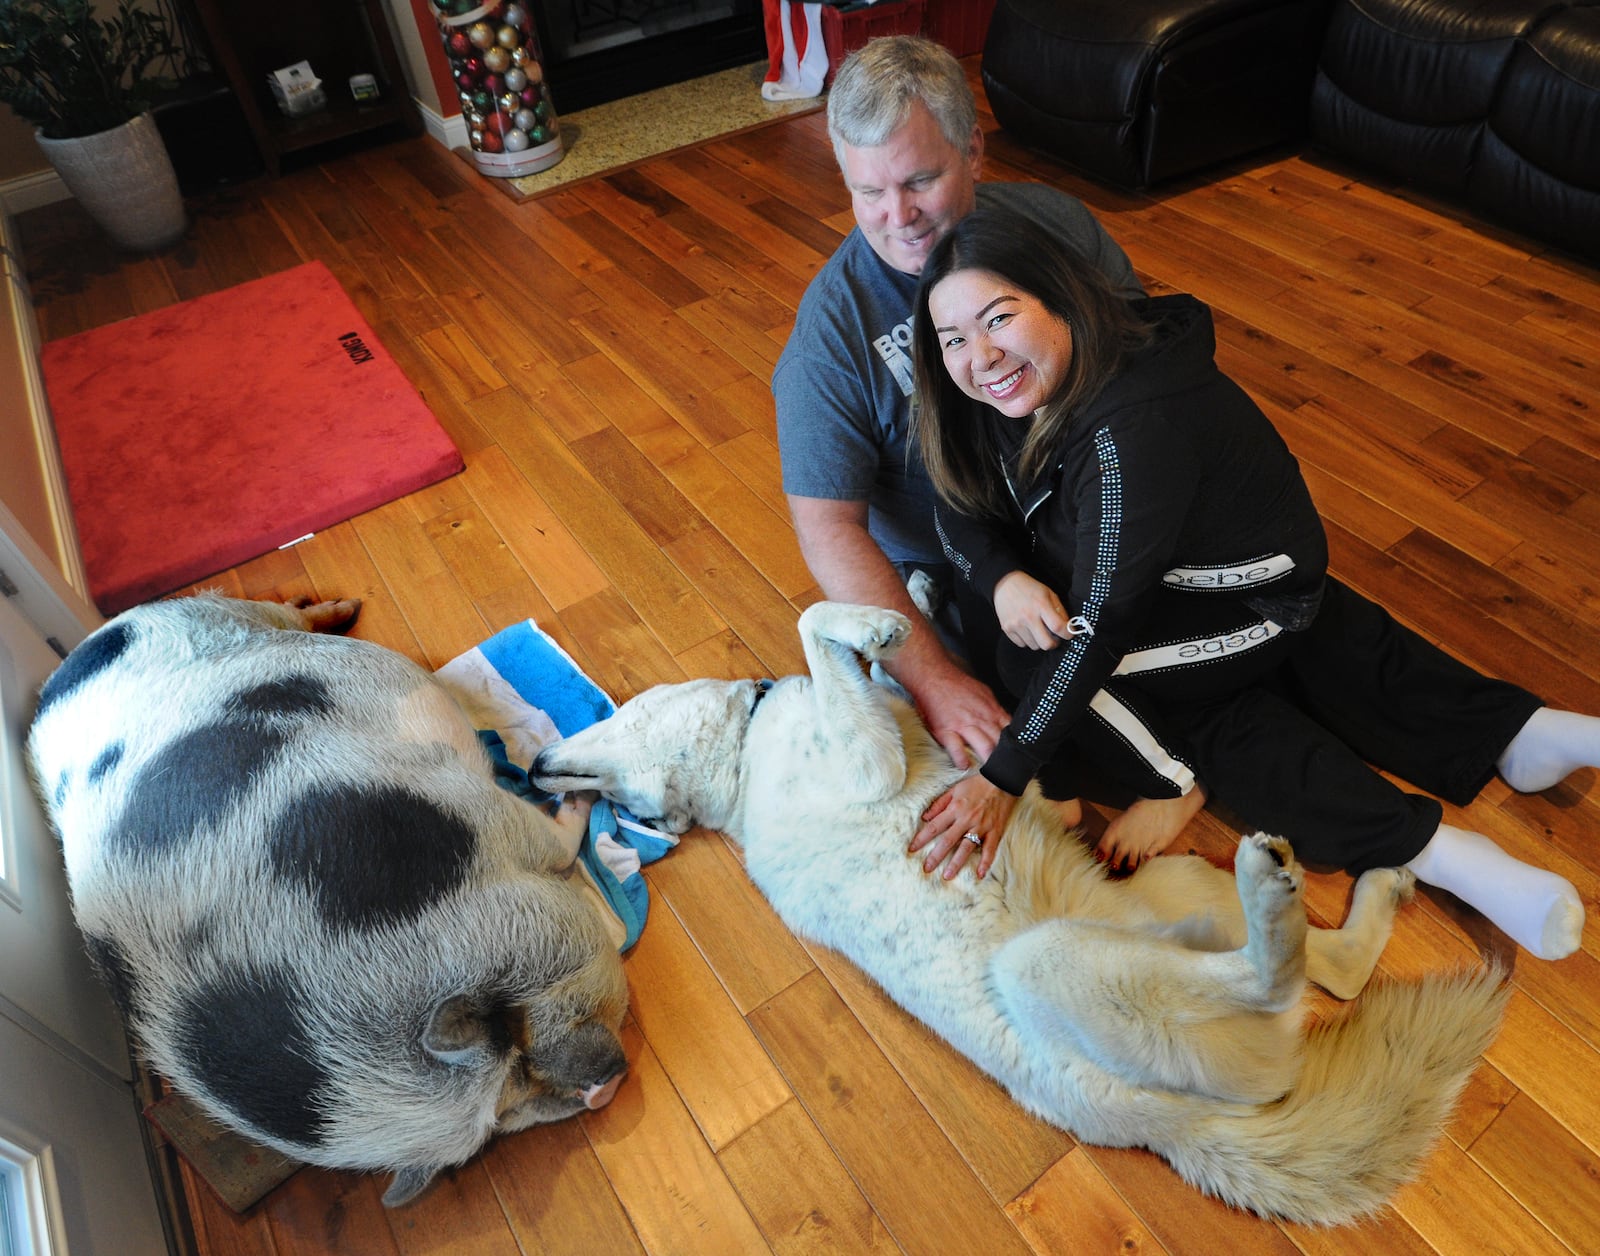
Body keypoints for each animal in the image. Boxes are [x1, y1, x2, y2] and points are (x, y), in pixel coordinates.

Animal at [26, 595, 624, 1203]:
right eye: (515, 1105)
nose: (599, 1092)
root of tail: (60, 675)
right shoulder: (489, 817)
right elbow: (561, 844)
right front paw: (582, 804)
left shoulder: (481, 812)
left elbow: (555, 840)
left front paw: (581, 797)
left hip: (224, 617)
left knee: (286, 613)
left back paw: (345, 606)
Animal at [531, 601, 1504, 1222]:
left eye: (617, 722)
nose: (536, 768)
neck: (736, 772)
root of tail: (1183, 1133)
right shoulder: (869, 766)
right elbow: (815, 625)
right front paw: (871, 624)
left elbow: (889, 685)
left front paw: (900, 628)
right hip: (1058, 962)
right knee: (1275, 984)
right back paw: (1275, 893)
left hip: (1170, 890)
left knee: (1328, 967)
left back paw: (1372, 886)